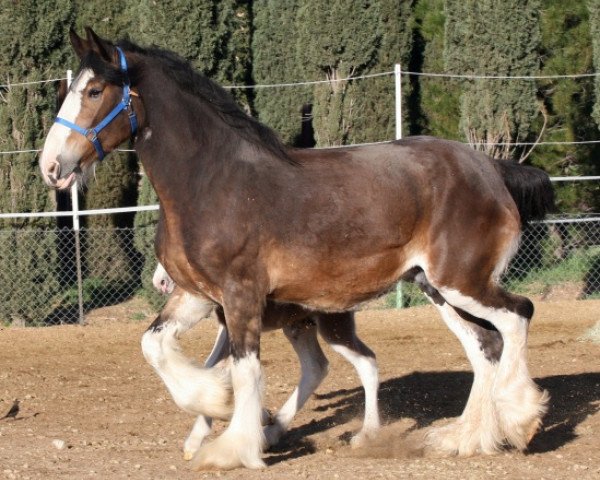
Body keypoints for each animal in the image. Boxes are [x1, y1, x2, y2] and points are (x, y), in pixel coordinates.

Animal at [38, 28, 552, 470]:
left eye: (94, 91)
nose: (51, 167)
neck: (212, 182)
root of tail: (489, 168)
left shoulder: (240, 294)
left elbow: (245, 370)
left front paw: (233, 446)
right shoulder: (198, 295)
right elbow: (155, 345)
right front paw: (215, 403)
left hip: (463, 281)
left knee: (518, 315)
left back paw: (520, 420)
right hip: (438, 289)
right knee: (484, 347)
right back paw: (466, 439)